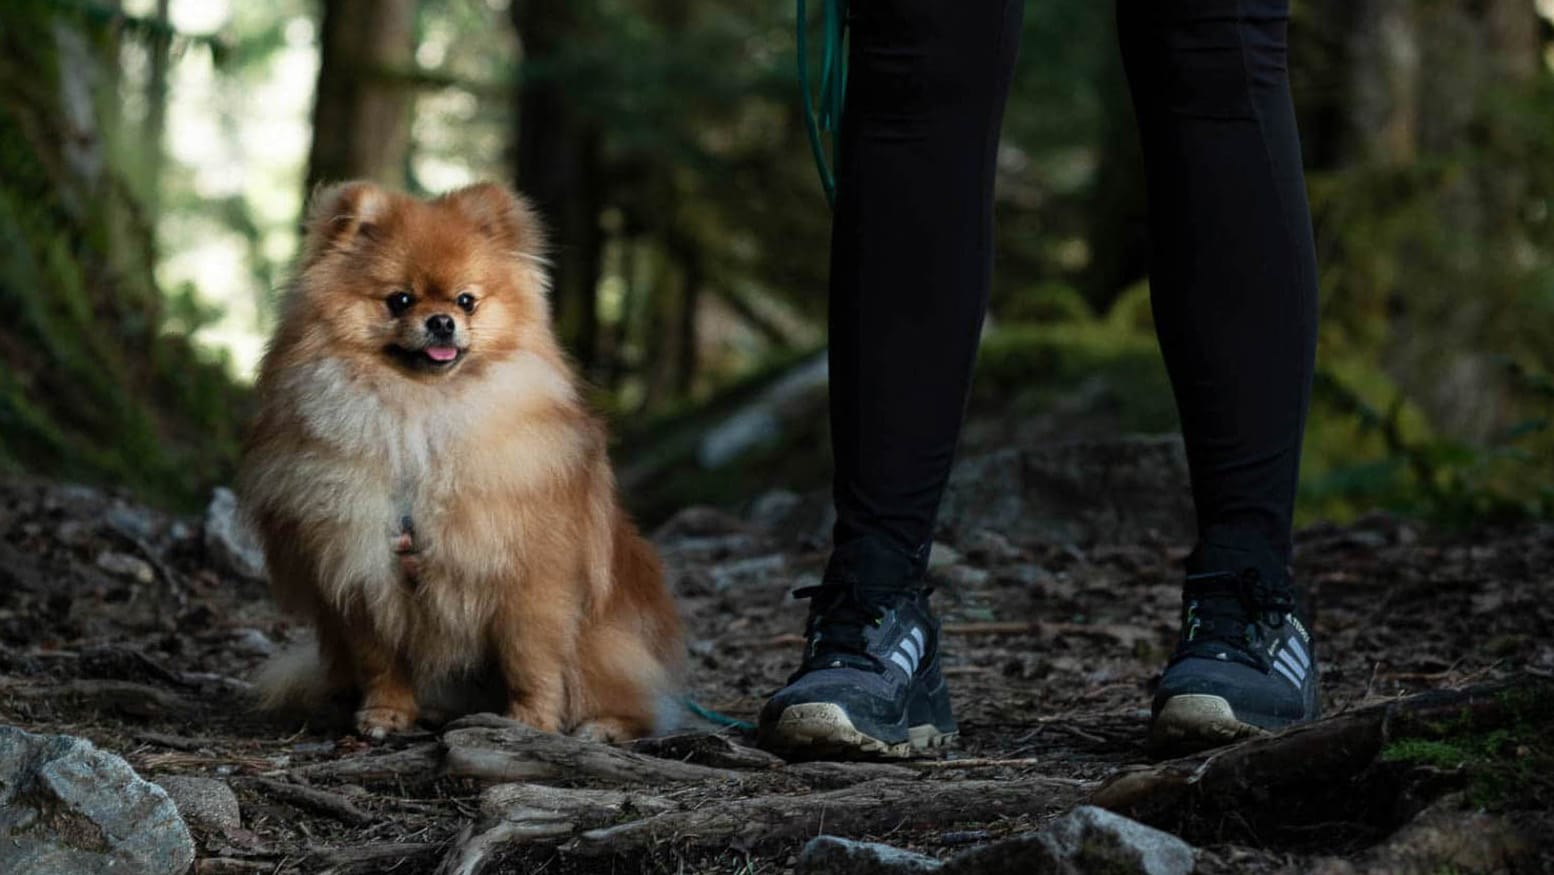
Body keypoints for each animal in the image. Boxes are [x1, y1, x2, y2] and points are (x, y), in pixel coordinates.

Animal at [240, 181, 680, 742]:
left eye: (467, 301)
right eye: (400, 300)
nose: (442, 321)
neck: (421, 420)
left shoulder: (531, 580)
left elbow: (531, 661)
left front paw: (531, 723)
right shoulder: (361, 576)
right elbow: (380, 660)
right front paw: (385, 713)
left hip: (603, 642)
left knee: (631, 699)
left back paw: (603, 726)